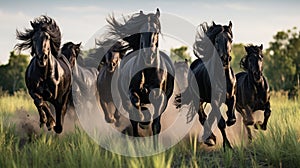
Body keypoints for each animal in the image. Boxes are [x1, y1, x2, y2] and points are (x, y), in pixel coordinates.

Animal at [107, 8, 175, 146]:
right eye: (141, 31)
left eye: (156, 31)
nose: (149, 54)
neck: (148, 70)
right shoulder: (132, 92)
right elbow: (137, 108)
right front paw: (144, 120)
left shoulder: (159, 97)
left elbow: (156, 125)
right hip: (124, 99)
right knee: (133, 119)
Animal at [173, 21, 237, 149]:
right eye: (216, 40)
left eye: (230, 39)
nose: (225, 58)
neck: (222, 76)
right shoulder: (215, 100)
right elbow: (221, 123)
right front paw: (227, 146)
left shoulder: (231, 97)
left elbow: (231, 118)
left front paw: (230, 117)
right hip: (198, 99)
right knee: (203, 118)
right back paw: (210, 139)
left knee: (209, 117)